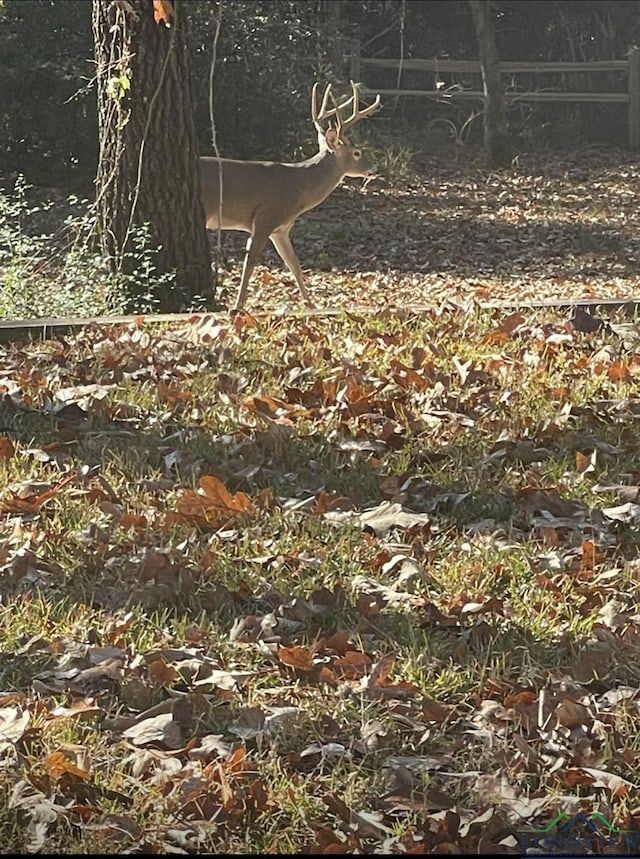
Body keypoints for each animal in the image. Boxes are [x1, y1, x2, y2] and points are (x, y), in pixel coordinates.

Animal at [200, 82, 380, 312]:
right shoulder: (265, 218)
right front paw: (238, 306)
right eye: (357, 153)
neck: (298, 188)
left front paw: (311, 304)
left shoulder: (281, 229)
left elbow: (294, 264)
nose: (375, 168)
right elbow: (250, 263)